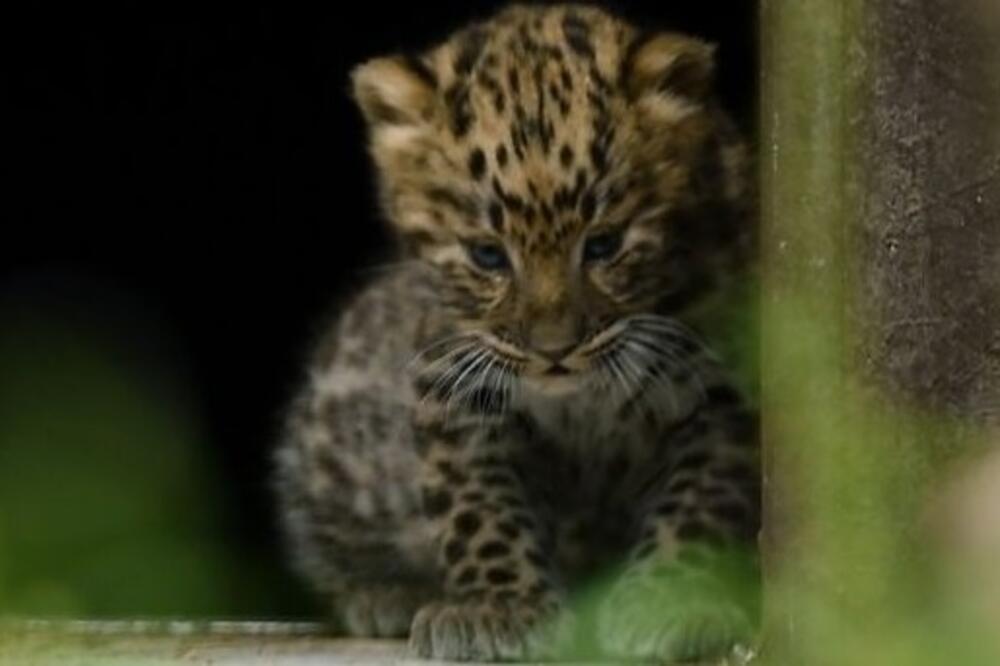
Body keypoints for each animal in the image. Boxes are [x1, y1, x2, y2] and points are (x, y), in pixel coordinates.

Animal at [274, 3, 759, 662]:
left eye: (604, 245)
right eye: (487, 256)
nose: (555, 351)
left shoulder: (721, 388)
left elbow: (702, 501)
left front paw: (670, 600)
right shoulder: (455, 383)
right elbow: (478, 506)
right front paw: (500, 608)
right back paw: (385, 594)